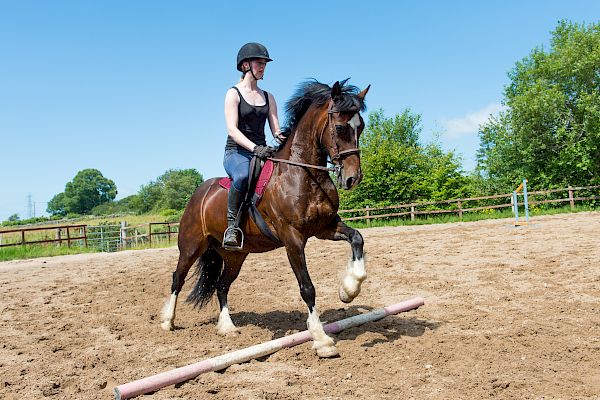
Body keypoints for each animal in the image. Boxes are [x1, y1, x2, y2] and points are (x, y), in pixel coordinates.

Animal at [162, 79, 372, 358]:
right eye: (339, 127)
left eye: (361, 126)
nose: (352, 178)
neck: (304, 173)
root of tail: (199, 194)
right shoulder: (293, 238)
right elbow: (307, 287)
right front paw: (322, 340)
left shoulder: (325, 227)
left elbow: (357, 238)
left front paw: (348, 290)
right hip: (191, 245)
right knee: (178, 277)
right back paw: (167, 321)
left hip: (235, 255)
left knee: (221, 285)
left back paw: (227, 327)